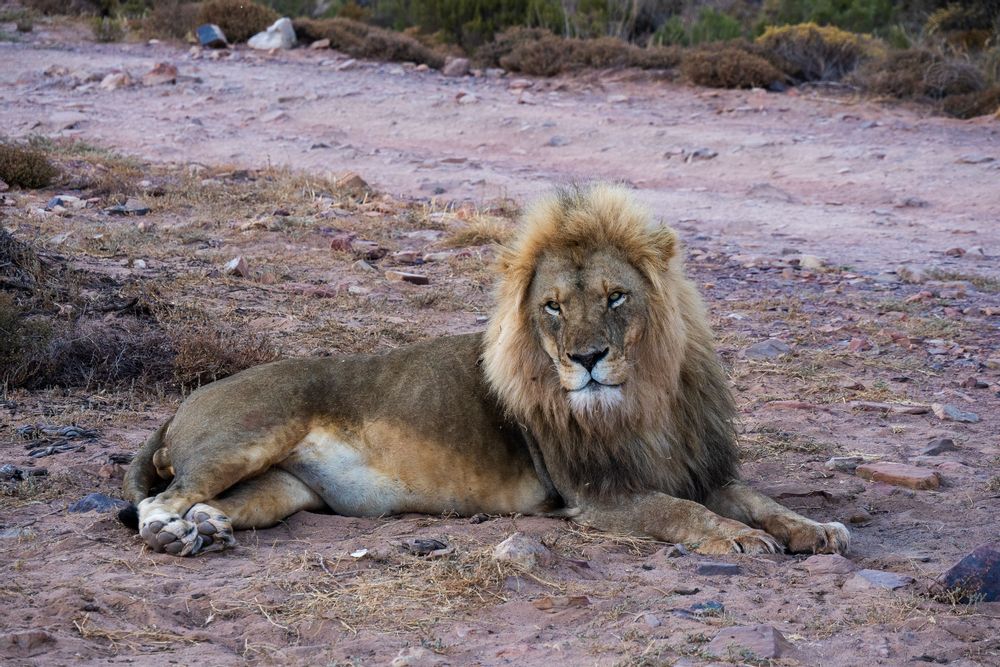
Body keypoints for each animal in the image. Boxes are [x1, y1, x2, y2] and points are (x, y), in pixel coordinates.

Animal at [121, 184, 849, 557]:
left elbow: (759, 500)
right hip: (250, 435)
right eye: (553, 307)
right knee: (159, 499)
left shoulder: (702, 468)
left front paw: (815, 530)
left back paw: (207, 528)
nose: (586, 359)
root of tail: (184, 402)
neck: (643, 399)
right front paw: (741, 539)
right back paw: (174, 536)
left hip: (282, 489)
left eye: (616, 297)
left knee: (215, 502)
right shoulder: (599, 495)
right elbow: (680, 512)